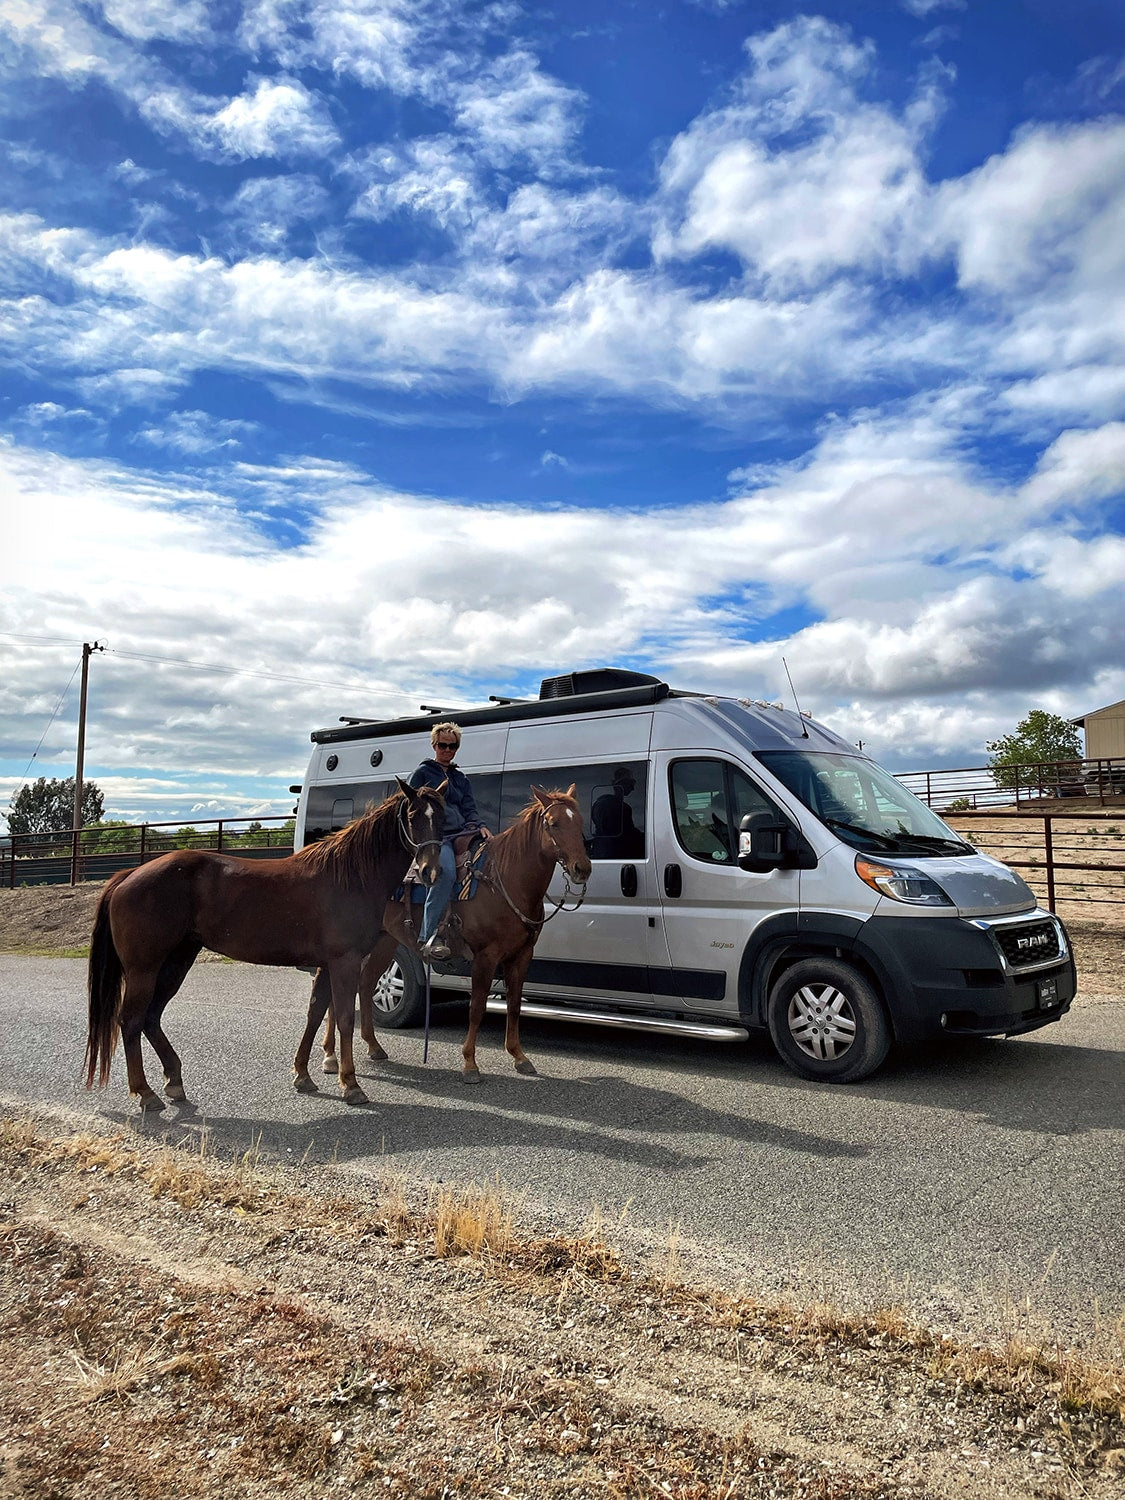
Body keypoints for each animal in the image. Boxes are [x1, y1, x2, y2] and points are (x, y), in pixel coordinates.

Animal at [84, 779, 446, 1112]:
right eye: (412, 816)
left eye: (444, 816)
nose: (430, 871)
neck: (350, 876)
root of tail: (130, 874)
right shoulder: (345, 961)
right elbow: (343, 1017)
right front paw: (350, 1084)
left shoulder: (327, 963)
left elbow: (316, 1013)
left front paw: (303, 1074)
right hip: (144, 969)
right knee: (131, 1021)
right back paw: (145, 1092)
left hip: (176, 962)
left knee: (151, 1017)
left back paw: (173, 1079)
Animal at [296, 785, 592, 1087]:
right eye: (553, 823)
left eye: (580, 822)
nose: (582, 869)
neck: (504, 881)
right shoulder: (485, 956)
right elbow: (477, 1007)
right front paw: (470, 1064)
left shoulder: (522, 956)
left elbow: (514, 1005)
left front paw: (519, 1057)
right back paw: (330, 1057)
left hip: (383, 942)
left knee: (364, 985)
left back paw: (372, 1046)